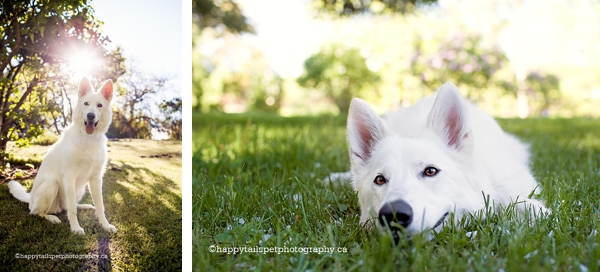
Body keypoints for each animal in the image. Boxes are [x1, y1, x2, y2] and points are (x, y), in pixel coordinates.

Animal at [8, 76, 117, 234]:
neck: (88, 138)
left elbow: (100, 206)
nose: (90, 115)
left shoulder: (96, 179)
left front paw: (105, 225)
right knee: (37, 212)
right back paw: (52, 218)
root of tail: (30, 199)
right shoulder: (69, 176)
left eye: (99, 105)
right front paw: (76, 228)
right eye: (86, 103)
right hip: (51, 185)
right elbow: (71, 210)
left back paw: (84, 206)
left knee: (67, 206)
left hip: (80, 189)